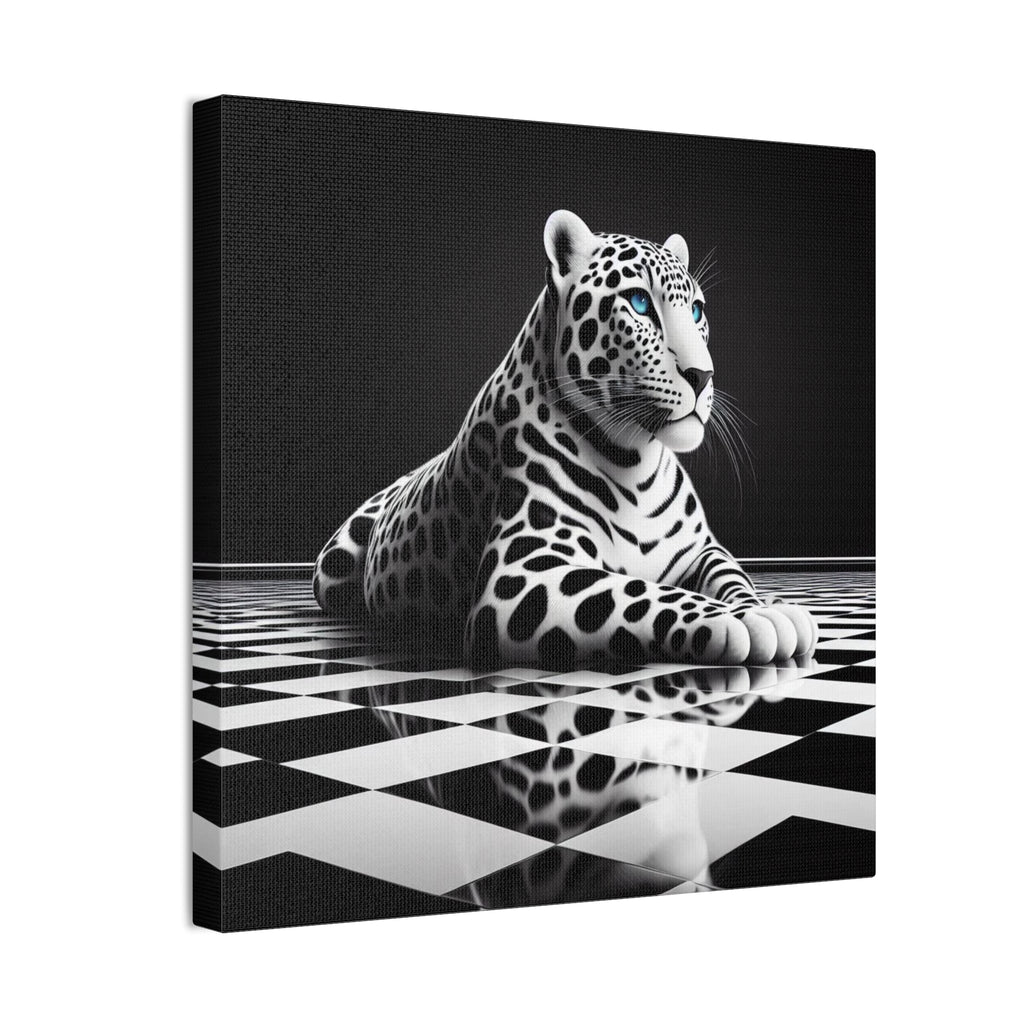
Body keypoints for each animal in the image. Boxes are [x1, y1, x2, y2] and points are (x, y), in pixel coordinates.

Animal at [313, 210, 818, 669]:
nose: (703, 375)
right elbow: (641, 592)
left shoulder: (701, 550)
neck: (636, 461)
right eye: (639, 303)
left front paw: (765, 607)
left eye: (696, 310)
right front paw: (745, 621)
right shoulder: (521, 573)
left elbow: (732, 577)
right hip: (331, 567)